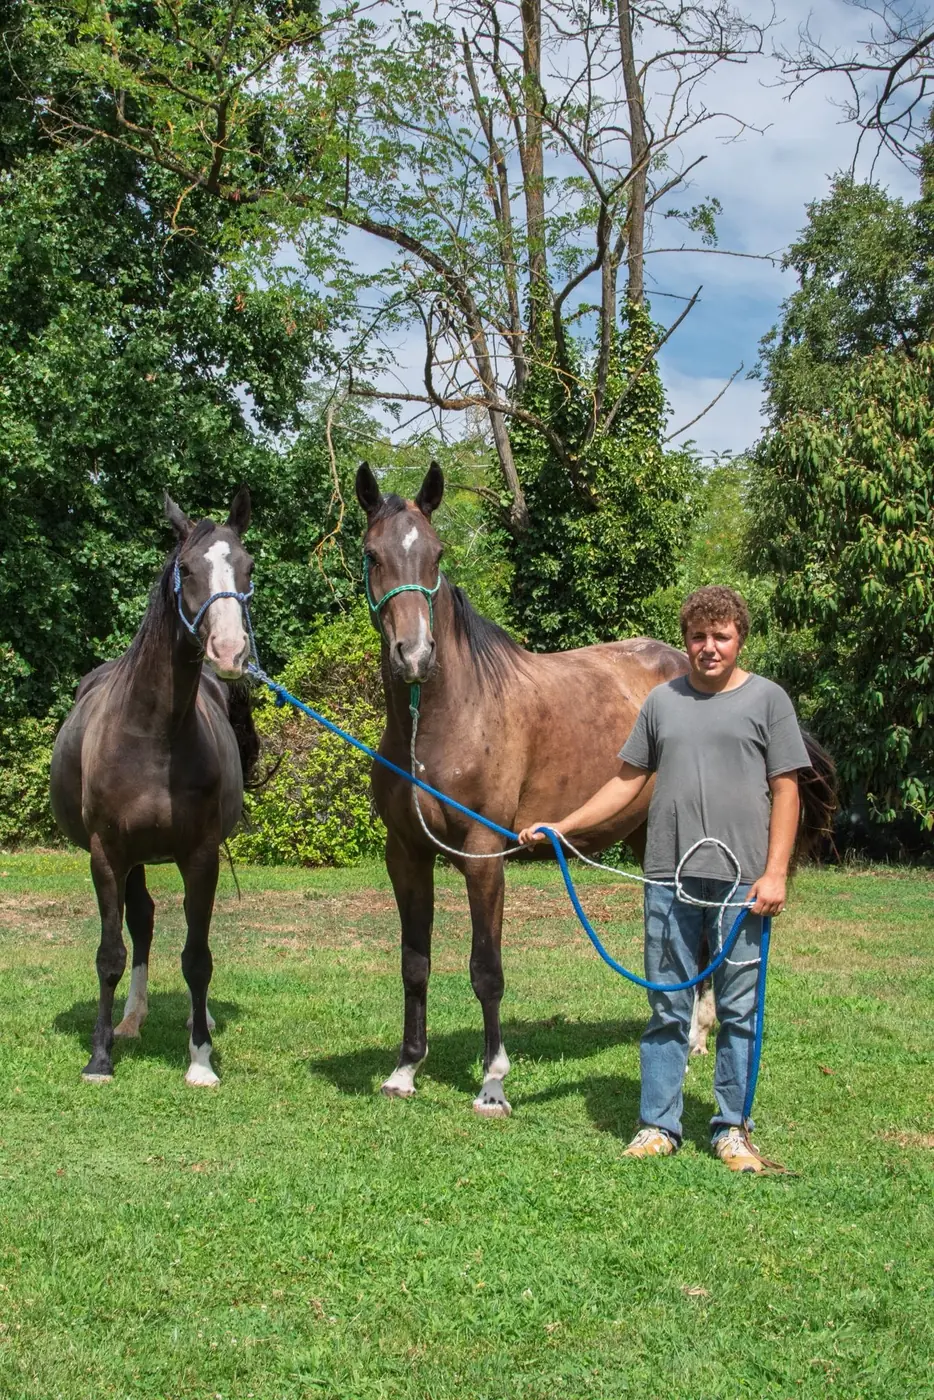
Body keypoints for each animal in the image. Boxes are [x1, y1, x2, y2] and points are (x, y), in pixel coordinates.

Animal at [50, 488, 258, 1086]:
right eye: (186, 569)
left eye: (247, 567)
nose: (230, 651)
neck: (153, 734)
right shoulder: (106, 854)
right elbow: (110, 954)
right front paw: (99, 1058)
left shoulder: (201, 855)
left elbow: (197, 957)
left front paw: (201, 1058)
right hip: (132, 859)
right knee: (139, 924)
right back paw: (130, 1019)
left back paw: (195, 1015)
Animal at [356, 461, 836, 1117]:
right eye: (373, 554)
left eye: (437, 553)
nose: (415, 655)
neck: (441, 719)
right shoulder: (405, 854)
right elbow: (415, 963)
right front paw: (405, 1070)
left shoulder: (483, 854)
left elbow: (486, 969)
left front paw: (493, 1082)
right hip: (650, 841)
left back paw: (695, 1037)